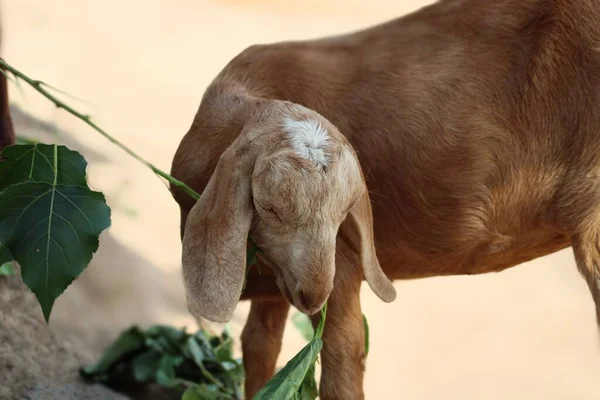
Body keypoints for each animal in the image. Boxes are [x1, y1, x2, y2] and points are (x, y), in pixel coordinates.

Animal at [169, 1, 600, 398]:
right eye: (269, 206)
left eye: (343, 214)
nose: (313, 295)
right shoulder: (281, 275)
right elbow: (260, 346)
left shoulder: (341, 264)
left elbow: (341, 362)